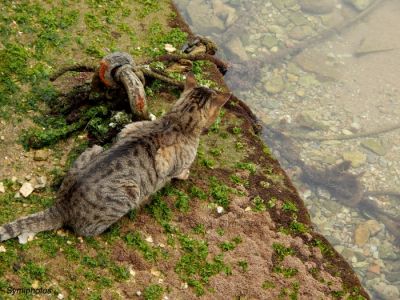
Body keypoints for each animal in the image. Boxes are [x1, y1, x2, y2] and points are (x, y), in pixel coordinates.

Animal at [0, 73, 230, 241]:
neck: (177, 121)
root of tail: (62, 206)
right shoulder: (171, 164)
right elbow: (177, 172)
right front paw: (185, 174)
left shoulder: (128, 128)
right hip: (130, 192)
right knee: (86, 231)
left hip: (94, 149)